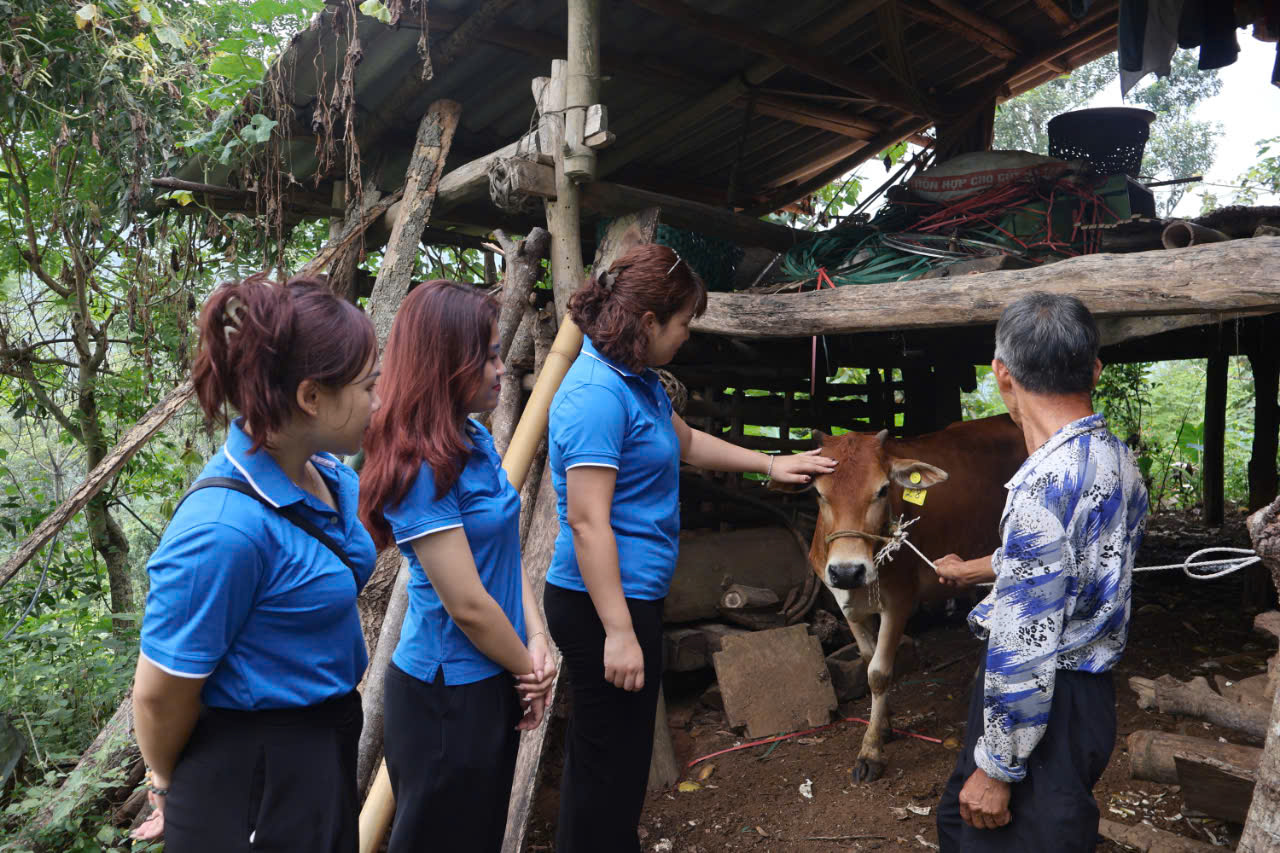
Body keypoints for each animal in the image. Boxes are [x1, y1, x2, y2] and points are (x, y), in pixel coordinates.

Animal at [803, 414, 1024, 778]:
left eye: (882, 490)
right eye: (818, 493)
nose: (848, 570)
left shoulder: (899, 602)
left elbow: (879, 673)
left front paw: (870, 751)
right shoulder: (846, 605)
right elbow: (867, 658)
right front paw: (884, 724)